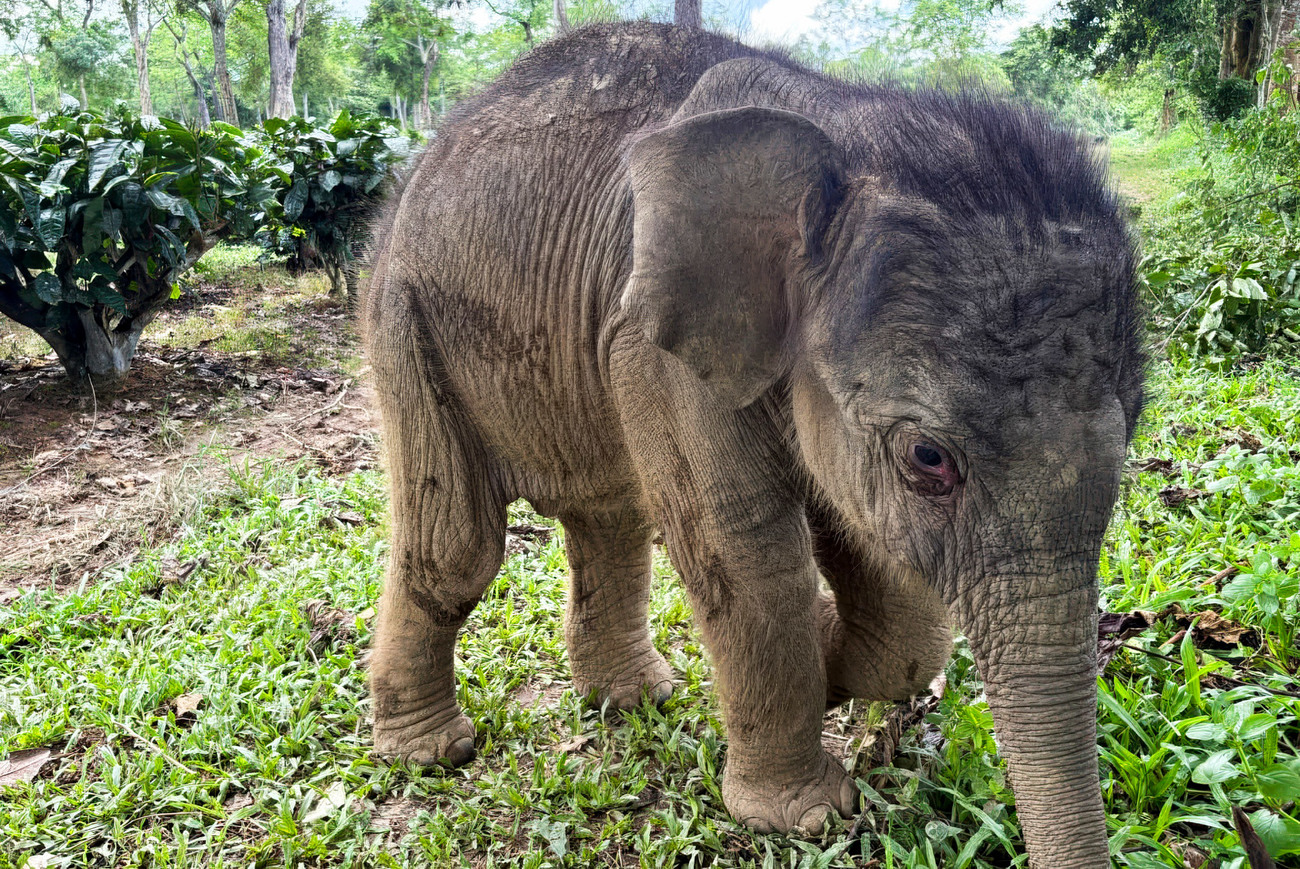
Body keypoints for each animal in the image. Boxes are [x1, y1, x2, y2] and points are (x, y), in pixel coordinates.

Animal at [362, 22, 1143, 869]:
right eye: (928, 459)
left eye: (1135, 425)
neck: (845, 124)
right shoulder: (654, 347)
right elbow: (748, 555)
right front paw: (803, 813)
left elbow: (870, 559)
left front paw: (831, 662)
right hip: (406, 321)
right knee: (457, 547)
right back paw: (431, 750)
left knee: (609, 518)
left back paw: (635, 697)